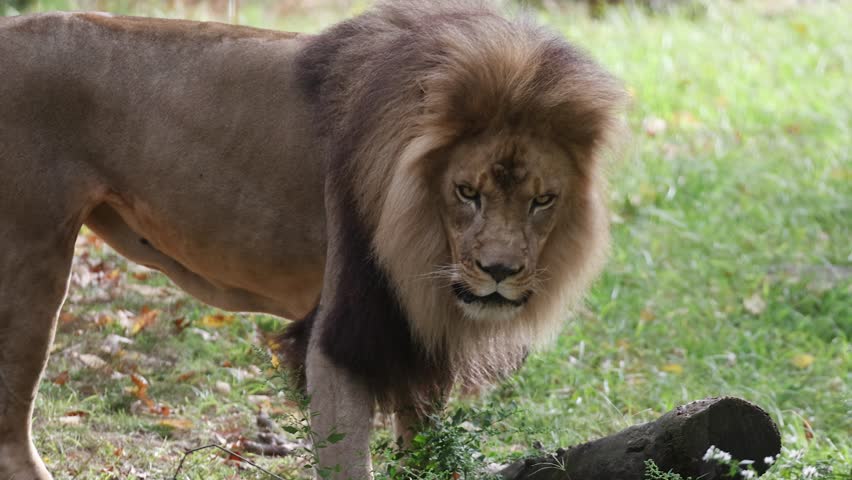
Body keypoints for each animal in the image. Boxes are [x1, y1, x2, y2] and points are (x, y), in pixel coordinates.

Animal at [0, 1, 624, 478]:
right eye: (466, 192)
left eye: (542, 201)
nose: (498, 272)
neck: (422, 242)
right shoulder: (342, 334)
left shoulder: (412, 335)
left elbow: (423, 452)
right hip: (29, 266)